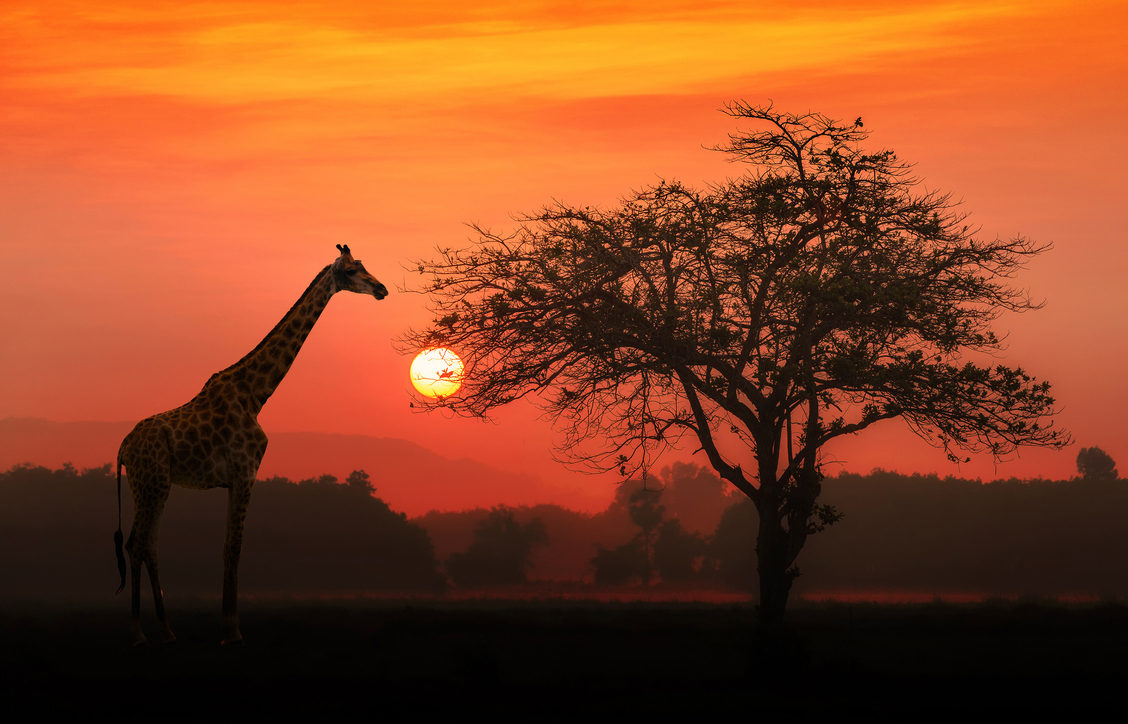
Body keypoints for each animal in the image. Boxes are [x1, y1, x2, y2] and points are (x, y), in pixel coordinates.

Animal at [114, 243, 388, 640]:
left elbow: (229, 546)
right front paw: (232, 631)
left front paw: (228, 627)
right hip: (150, 483)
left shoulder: (235, 478)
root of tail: (122, 447)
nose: (382, 289)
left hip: (155, 485)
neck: (256, 394)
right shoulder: (245, 472)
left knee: (148, 545)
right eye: (351, 271)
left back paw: (167, 631)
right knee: (136, 544)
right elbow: (234, 548)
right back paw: (138, 634)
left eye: (363, 266)